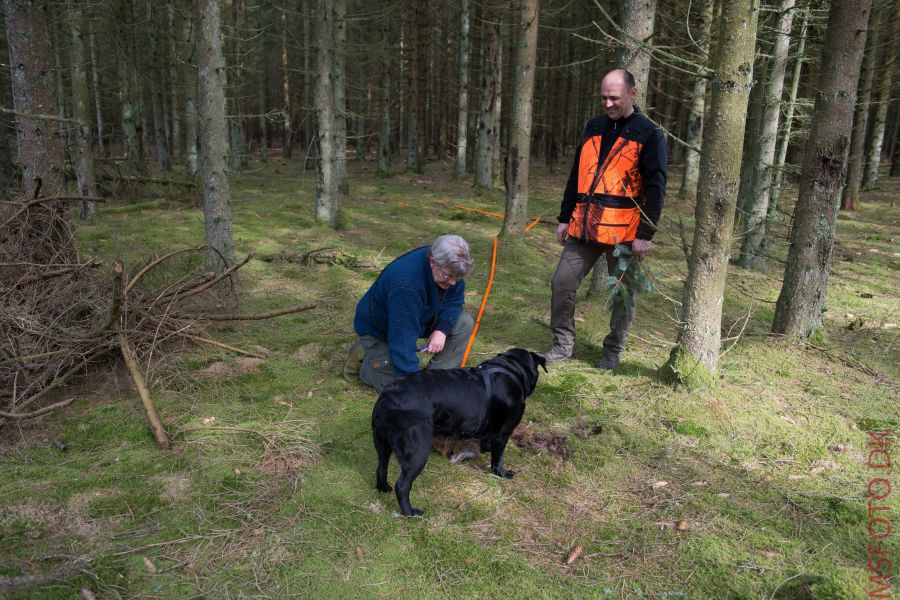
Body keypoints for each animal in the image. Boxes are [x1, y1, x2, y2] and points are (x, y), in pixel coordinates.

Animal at [370, 346, 544, 516]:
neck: (510, 369)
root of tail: (387, 397)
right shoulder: (503, 432)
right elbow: (498, 457)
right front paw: (502, 473)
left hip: (382, 444)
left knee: (381, 468)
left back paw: (383, 488)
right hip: (417, 452)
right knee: (402, 485)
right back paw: (410, 513)